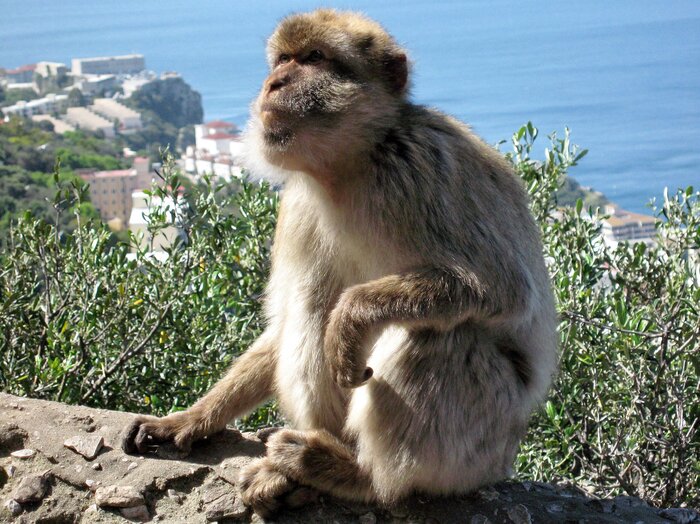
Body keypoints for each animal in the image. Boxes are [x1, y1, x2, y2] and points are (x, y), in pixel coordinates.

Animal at [122, 9, 558, 517]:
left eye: (314, 58)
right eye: (283, 59)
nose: (274, 83)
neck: (351, 167)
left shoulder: (422, 167)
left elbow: (502, 287)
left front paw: (352, 316)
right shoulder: (297, 206)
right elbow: (284, 321)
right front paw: (192, 419)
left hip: (482, 445)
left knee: (436, 337)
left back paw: (359, 475)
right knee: (313, 303)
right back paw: (305, 466)